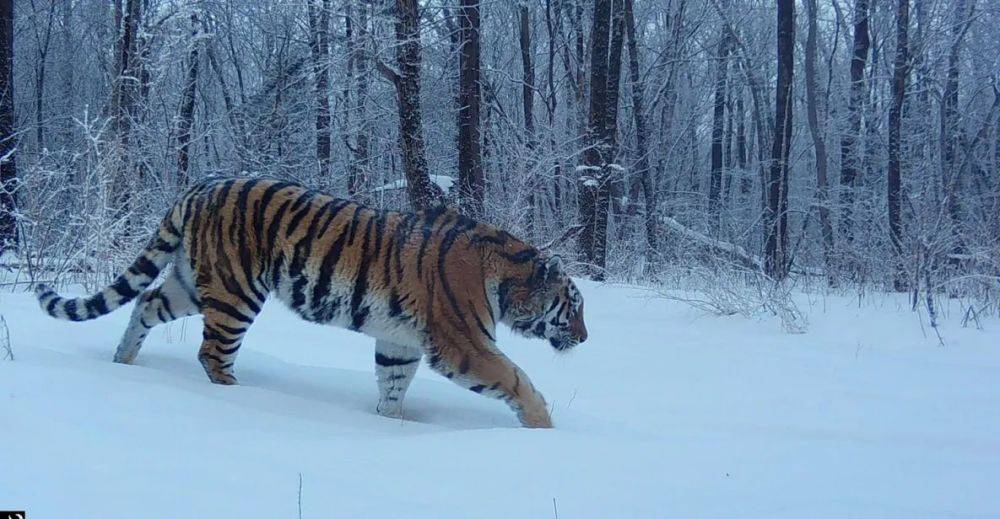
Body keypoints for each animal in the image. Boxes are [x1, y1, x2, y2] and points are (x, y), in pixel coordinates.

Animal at [35, 177, 584, 428]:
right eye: (573, 307)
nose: (584, 337)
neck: (507, 278)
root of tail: (199, 186)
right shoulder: (462, 343)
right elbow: (515, 378)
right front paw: (544, 427)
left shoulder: (399, 340)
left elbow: (392, 385)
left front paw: (392, 424)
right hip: (236, 292)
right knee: (212, 353)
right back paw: (241, 396)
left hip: (189, 284)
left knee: (145, 303)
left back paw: (122, 363)